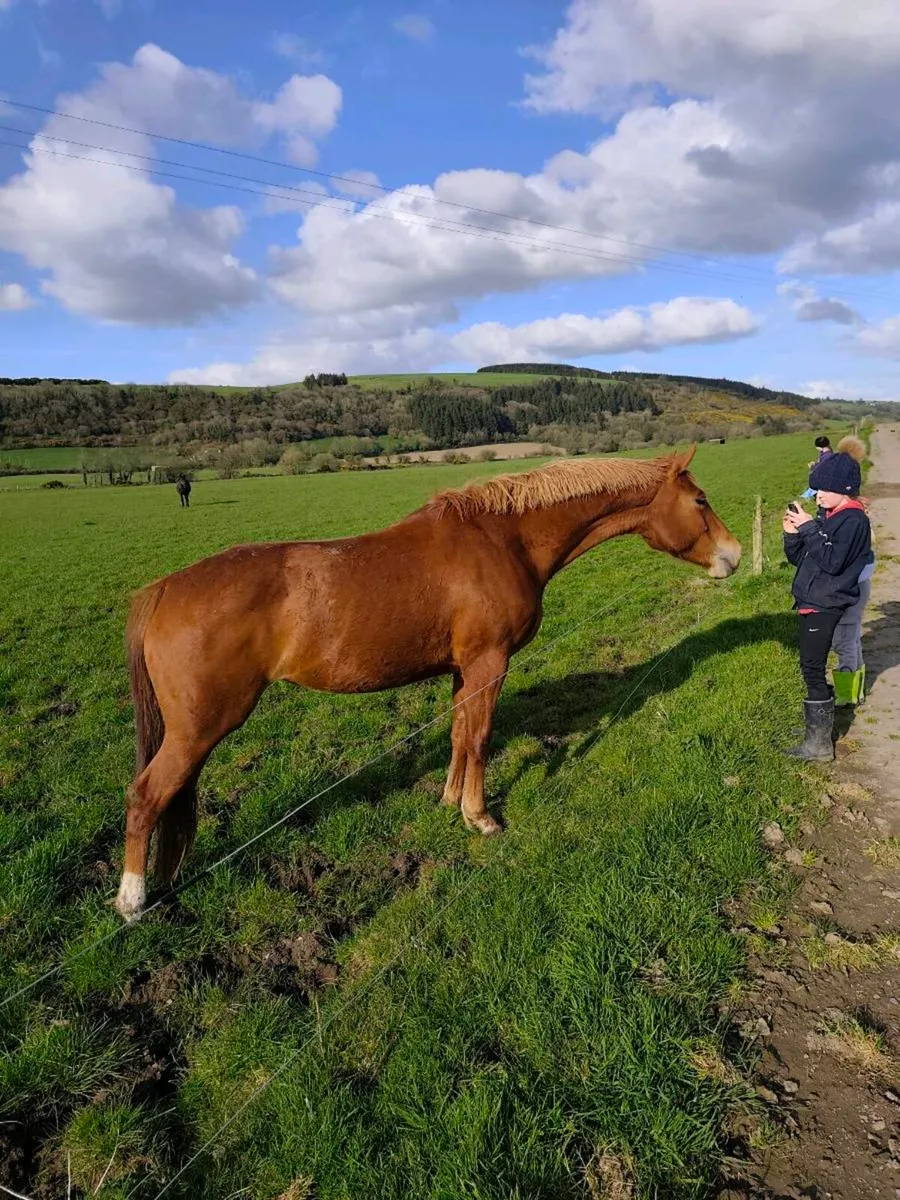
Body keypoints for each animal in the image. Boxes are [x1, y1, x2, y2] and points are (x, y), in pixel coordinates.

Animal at [115, 446, 741, 920]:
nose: (733, 556)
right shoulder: (489, 665)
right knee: (145, 795)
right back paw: (132, 901)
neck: (503, 539)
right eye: (701, 501)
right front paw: (481, 817)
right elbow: (482, 739)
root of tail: (164, 589)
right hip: (199, 728)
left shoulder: (464, 671)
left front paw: (448, 801)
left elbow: (460, 735)